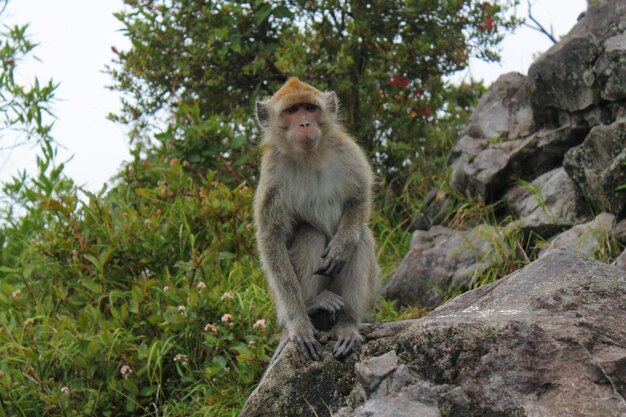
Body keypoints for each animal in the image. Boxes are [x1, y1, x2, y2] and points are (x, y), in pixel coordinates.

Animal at [251, 76, 378, 360]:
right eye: (291, 111)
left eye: (309, 108)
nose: (305, 124)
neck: (310, 155)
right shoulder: (273, 172)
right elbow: (272, 238)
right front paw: (299, 323)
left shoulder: (348, 151)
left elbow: (358, 198)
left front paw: (341, 247)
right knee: (310, 232)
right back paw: (312, 305)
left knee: (361, 238)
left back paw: (347, 324)